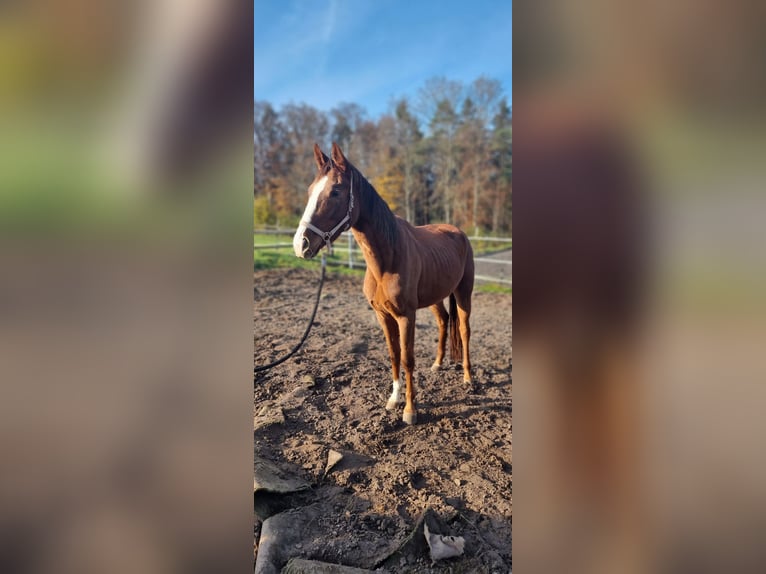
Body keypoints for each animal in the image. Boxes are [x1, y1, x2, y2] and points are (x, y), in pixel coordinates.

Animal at [294, 142, 474, 426]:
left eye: (335, 191)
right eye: (310, 190)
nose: (300, 245)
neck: (388, 258)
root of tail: (458, 233)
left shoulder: (406, 316)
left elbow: (408, 359)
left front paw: (410, 410)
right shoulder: (383, 315)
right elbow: (393, 355)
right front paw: (393, 400)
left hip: (464, 292)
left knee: (465, 331)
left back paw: (468, 378)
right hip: (436, 297)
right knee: (444, 321)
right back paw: (437, 364)